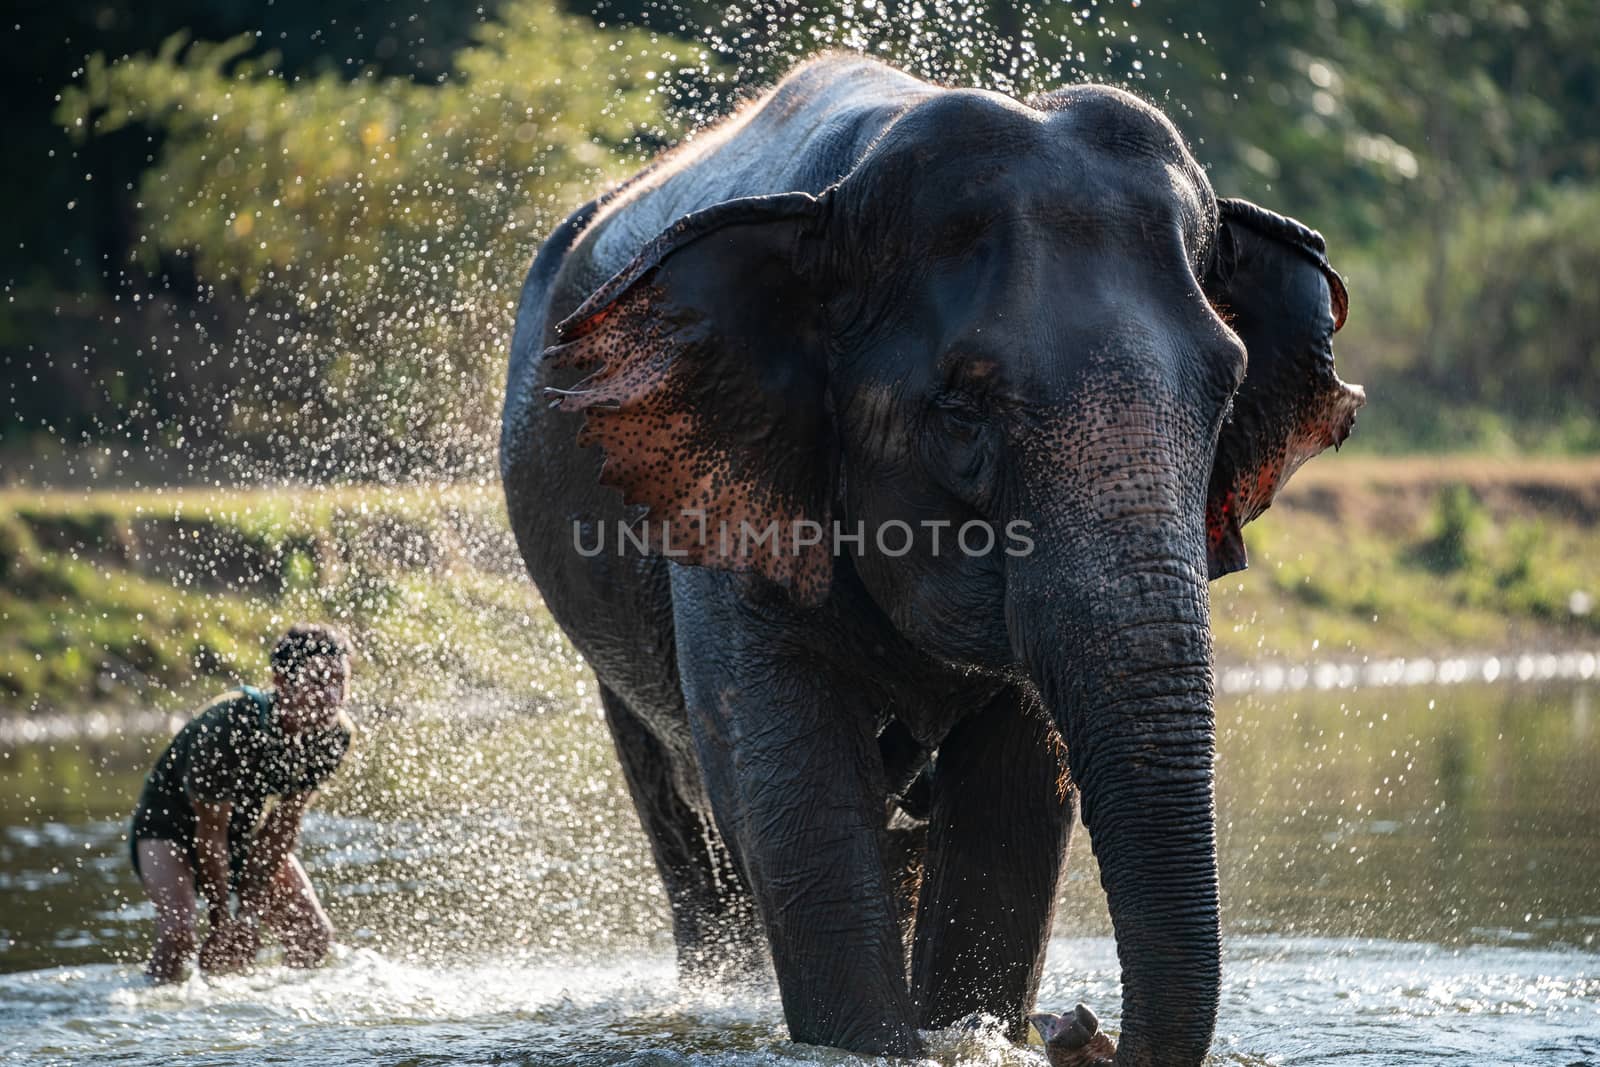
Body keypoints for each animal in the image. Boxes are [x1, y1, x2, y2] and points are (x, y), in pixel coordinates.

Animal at [499, 51, 1363, 1067]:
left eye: (1227, 390)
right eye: (960, 409)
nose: (1078, 1026)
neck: (839, 199)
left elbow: (1012, 809)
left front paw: (966, 1031)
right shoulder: (726, 498)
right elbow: (797, 807)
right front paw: (880, 1041)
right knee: (693, 828)